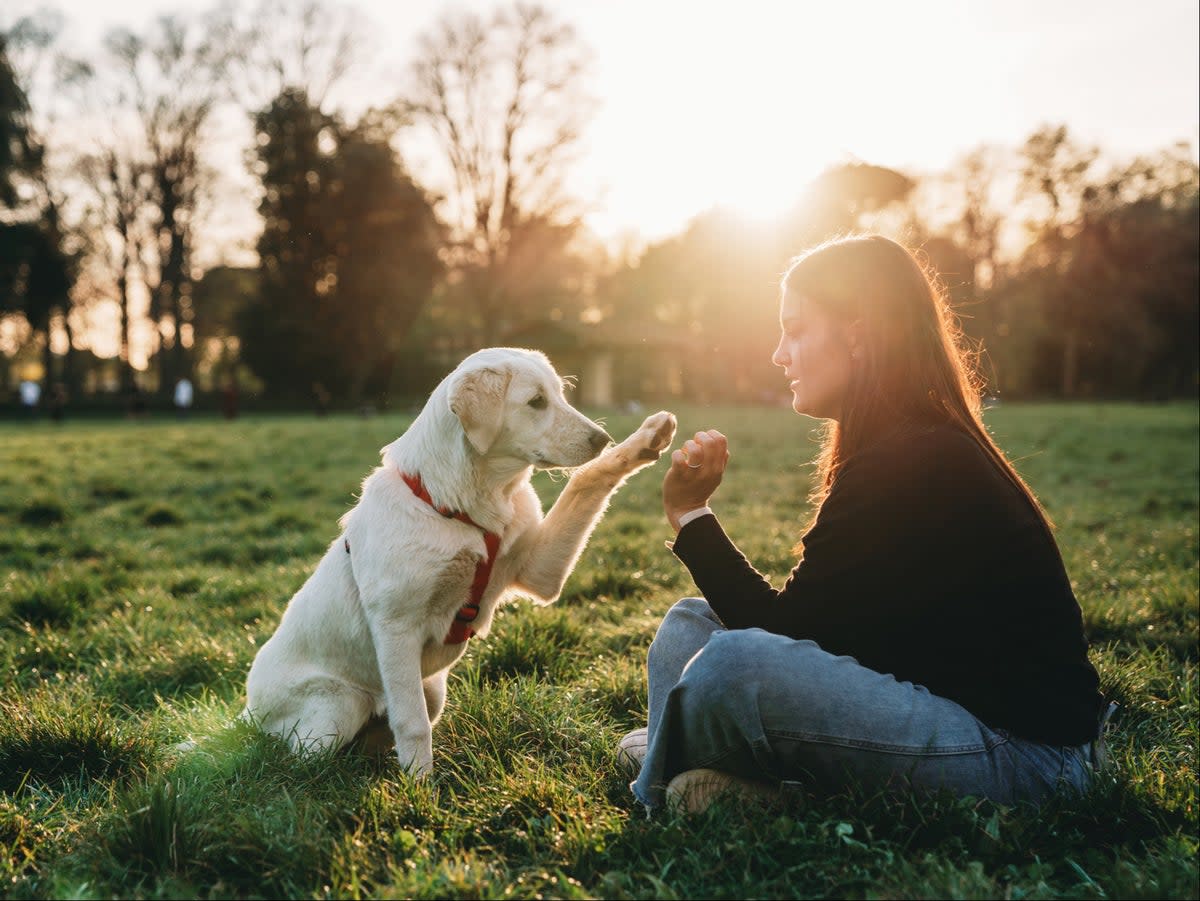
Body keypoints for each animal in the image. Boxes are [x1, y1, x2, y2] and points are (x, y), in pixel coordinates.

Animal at [243, 345, 676, 777]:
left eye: (560, 395)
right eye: (536, 402)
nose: (602, 438)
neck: (463, 507)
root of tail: (244, 713)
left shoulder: (540, 571)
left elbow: (585, 480)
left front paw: (643, 442)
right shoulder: (396, 626)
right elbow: (412, 723)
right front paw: (420, 787)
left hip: (431, 689)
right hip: (339, 705)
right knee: (301, 759)